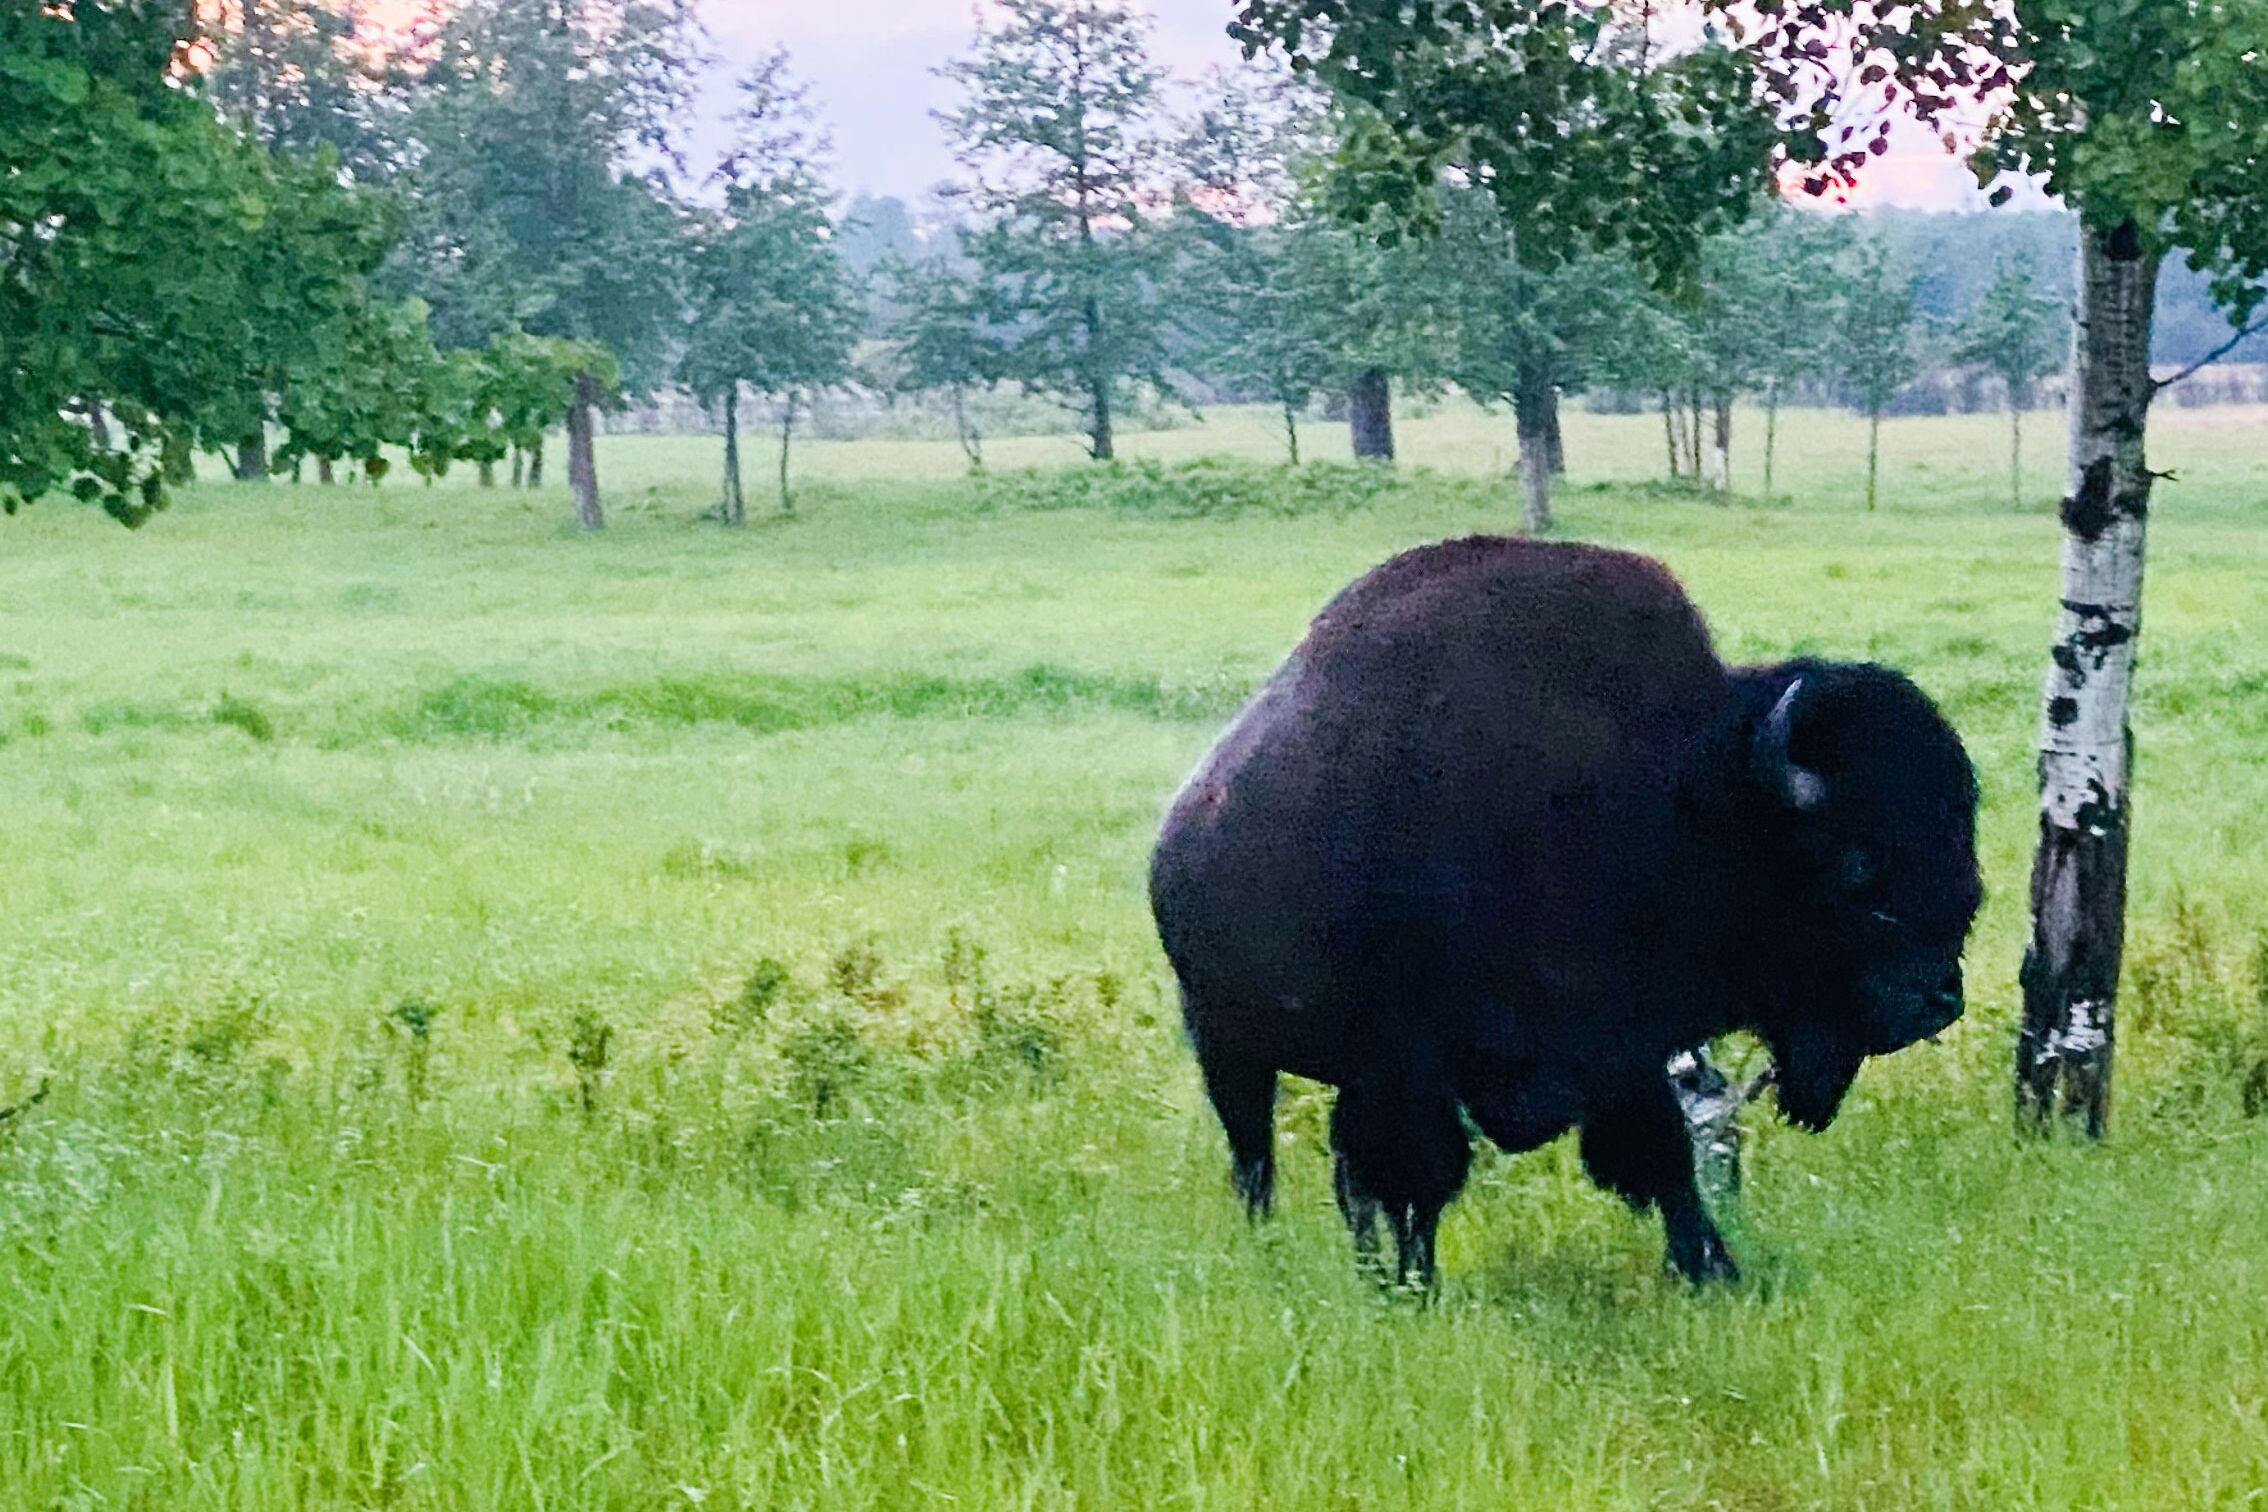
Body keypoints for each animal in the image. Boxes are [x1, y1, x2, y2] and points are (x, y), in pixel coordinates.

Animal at [1149, 536, 1981, 1285]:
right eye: (1855, 865)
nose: (1937, 1000)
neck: (1680, 798)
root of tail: (1180, 828)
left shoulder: (1622, 1045)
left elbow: (1660, 1156)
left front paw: (1713, 1271)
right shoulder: (1408, 1057)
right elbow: (1422, 1177)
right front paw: (1419, 1290)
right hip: (1229, 1047)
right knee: (1258, 1161)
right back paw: (1281, 1254)